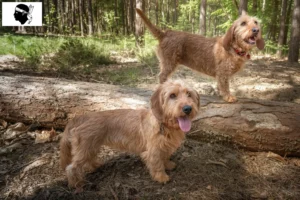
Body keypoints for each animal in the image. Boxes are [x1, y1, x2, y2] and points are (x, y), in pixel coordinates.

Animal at [59, 80, 200, 193]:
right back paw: (77, 184)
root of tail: (81, 117)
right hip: (85, 148)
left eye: (189, 94)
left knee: (88, 160)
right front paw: (161, 177)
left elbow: (164, 157)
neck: (165, 125)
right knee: (71, 168)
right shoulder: (152, 151)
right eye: (172, 95)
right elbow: (157, 164)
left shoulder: (164, 147)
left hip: (91, 146)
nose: (188, 108)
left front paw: (168, 164)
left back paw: (95, 166)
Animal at [136, 8, 264, 102]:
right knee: (161, 77)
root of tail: (165, 33)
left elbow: (220, 86)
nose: (256, 30)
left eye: (256, 22)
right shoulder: (223, 74)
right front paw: (228, 97)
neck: (234, 48)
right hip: (169, 63)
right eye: (243, 23)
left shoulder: (221, 76)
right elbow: (225, 86)